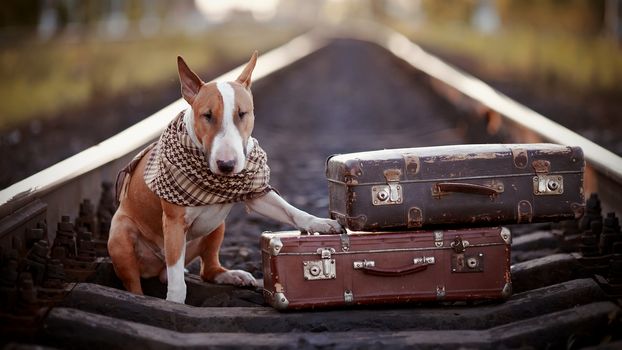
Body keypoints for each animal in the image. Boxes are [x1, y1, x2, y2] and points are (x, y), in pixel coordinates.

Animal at [107, 52, 342, 304]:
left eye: (242, 113)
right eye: (207, 115)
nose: (227, 165)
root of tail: (155, 270)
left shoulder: (255, 192)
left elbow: (290, 211)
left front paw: (322, 224)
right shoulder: (173, 222)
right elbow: (177, 280)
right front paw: (175, 302)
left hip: (217, 226)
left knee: (207, 269)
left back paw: (232, 275)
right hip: (120, 235)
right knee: (136, 281)